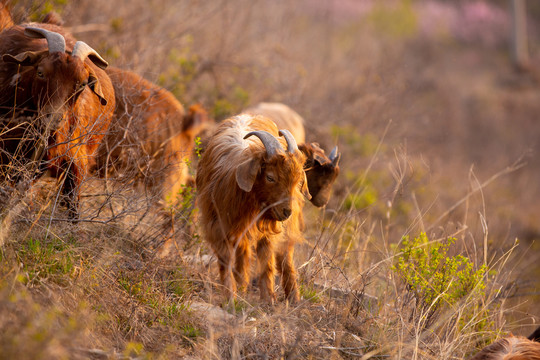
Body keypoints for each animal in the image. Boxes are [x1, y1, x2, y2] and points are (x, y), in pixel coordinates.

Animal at [196, 114, 310, 300]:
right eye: (270, 177)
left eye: (296, 180)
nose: (286, 211)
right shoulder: (219, 225)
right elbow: (226, 260)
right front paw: (230, 297)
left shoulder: (269, 229)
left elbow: (267, 260)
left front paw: (268, 299)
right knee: (243, 254)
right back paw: (242, 287)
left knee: (285, 256)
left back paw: (294, 298)